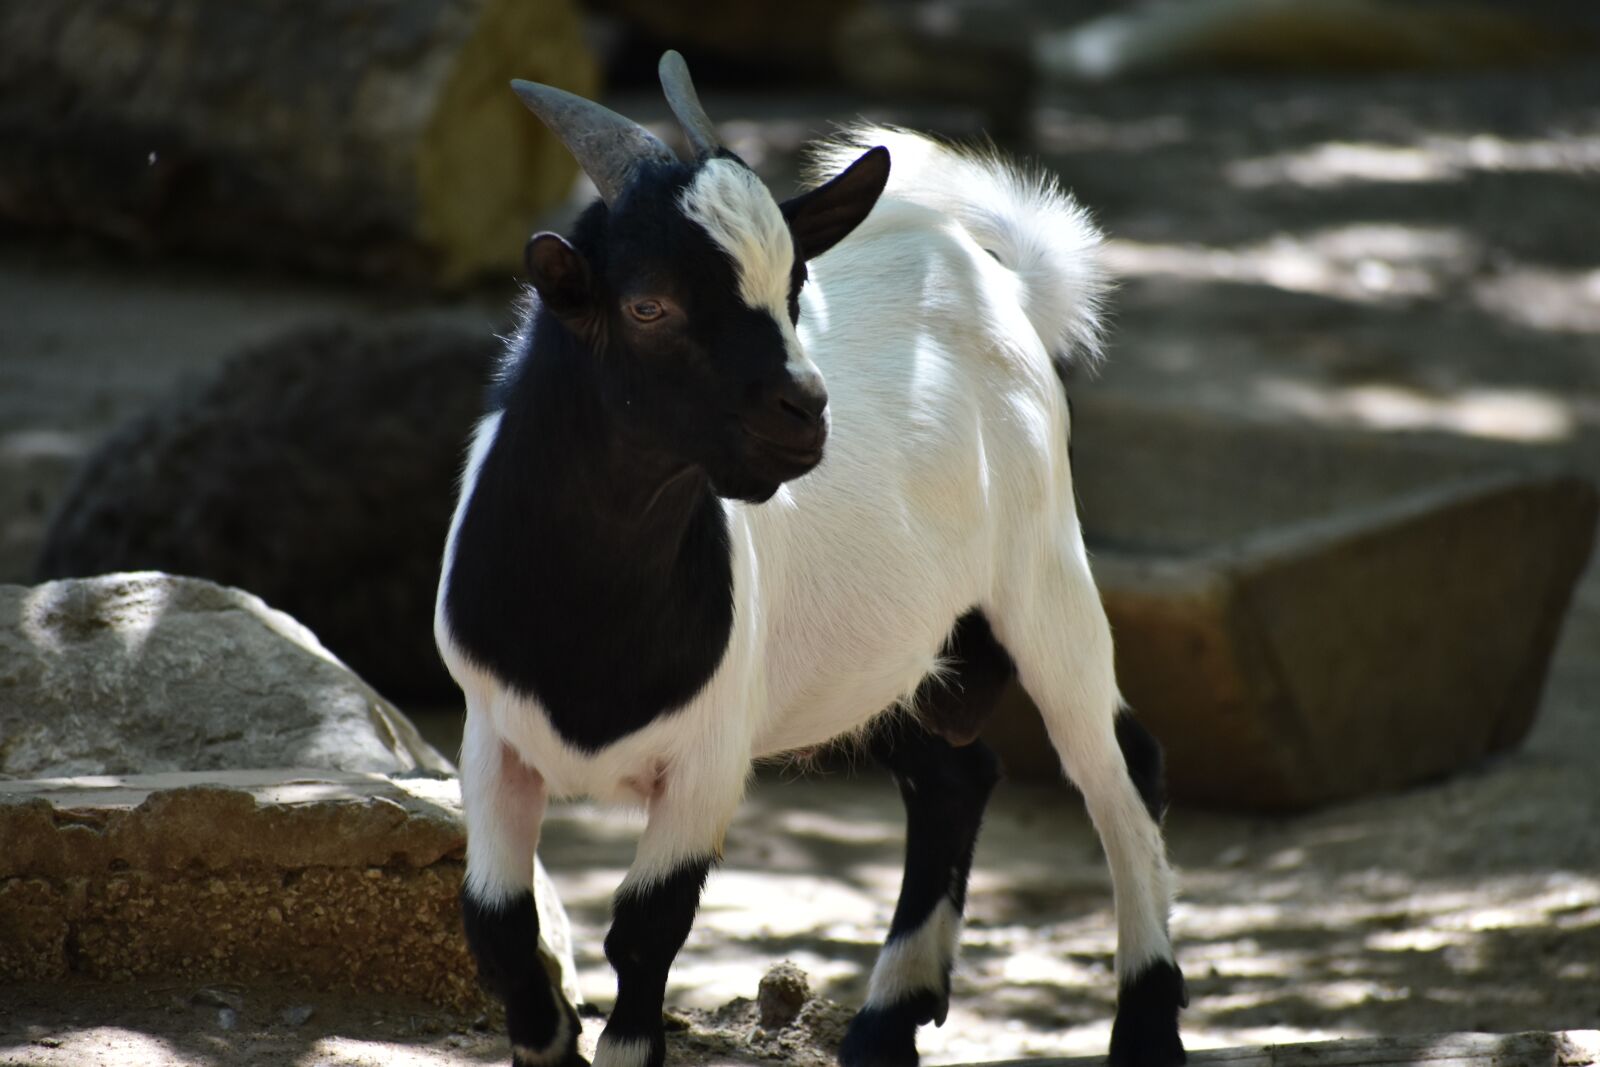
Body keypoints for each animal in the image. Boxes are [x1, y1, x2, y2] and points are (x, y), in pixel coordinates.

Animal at [434, 50, 1187, 1067]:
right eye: (647, 304)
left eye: (794, 288)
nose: (805, 410)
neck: (590, 622)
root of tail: (1000, 283)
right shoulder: (492, 735)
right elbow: (499, 926)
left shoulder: (708, 757)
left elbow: (645, 930)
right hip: (890, 649)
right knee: (953, 775)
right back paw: (886, 1019)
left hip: (1042, 566)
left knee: (1119, 768)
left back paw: (1144, 1026)